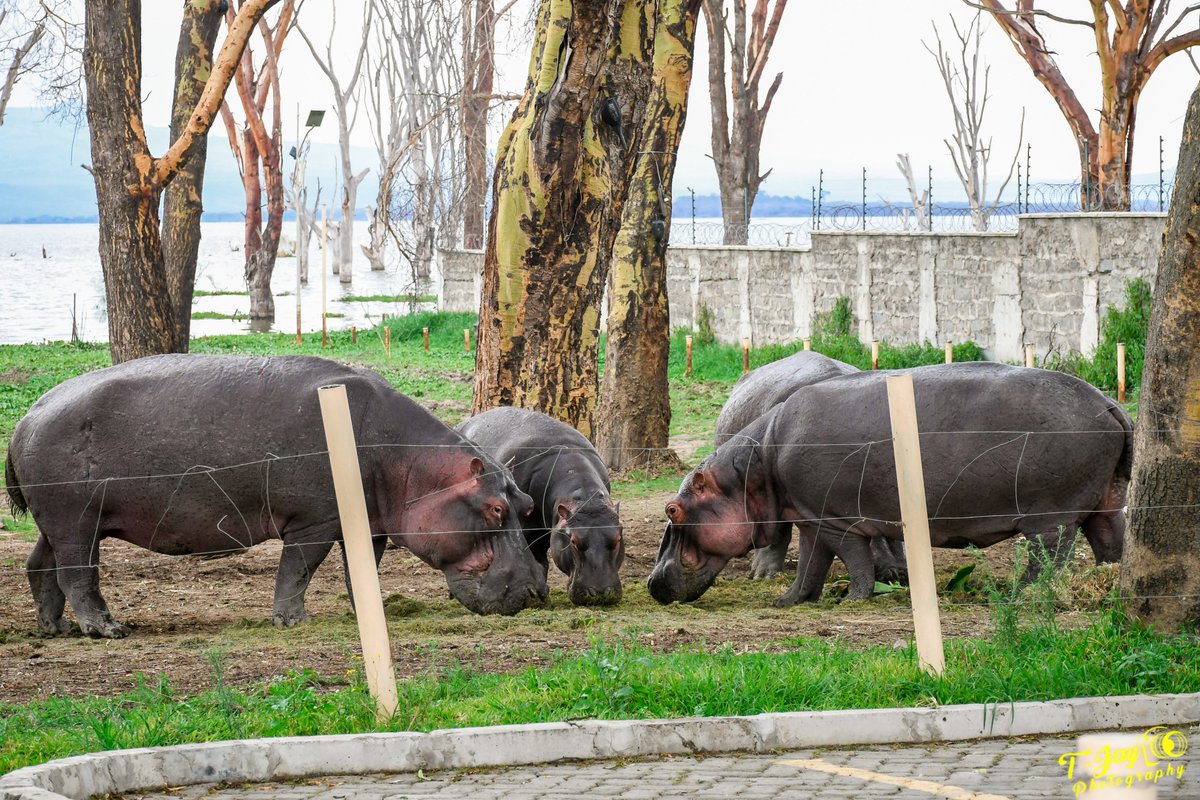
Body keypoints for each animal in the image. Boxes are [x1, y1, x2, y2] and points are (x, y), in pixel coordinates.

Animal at [4, 354, 548, 638]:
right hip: (77, 522)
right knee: (78, 574)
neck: (413, 465)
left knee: (40, 567)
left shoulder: (368, 524)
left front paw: (371, 611)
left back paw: (53, 629)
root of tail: (29, 415)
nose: (535, 592)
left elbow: (361, 569)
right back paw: (107, 629)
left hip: (58, 524)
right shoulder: (314, 520)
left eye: (526, 505)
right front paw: (292, 620)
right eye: (496, 508)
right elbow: (298, 569)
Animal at [649, 362, 1131, 606]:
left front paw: (853, 600)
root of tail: (1109, 403)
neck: (754, 466)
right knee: (1110, 545)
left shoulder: (836, 520)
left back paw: (1015, 598)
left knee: (1047, 558)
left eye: (673, 510)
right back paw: (1109, 583)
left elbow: (854, 561)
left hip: (1049, 516)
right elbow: (811, 565)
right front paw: (787, 601)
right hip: (1106, 502)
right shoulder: (811, 518)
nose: (653, 584)